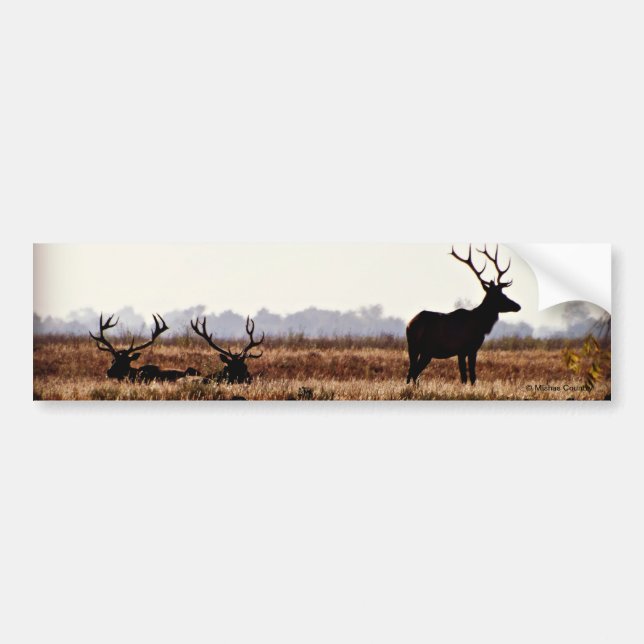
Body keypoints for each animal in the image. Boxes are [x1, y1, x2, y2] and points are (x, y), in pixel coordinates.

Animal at [406, 244, 521, 385]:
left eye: (503, 293)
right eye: (500, 295)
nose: (517, 306)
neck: (481, 325)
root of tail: (410, 325)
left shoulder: (466, 351)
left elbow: (467, 376)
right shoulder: (466, 349)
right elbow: (468, 376)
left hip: (413, 348)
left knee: (411, 372)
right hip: (427, 350)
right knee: (414, 372)